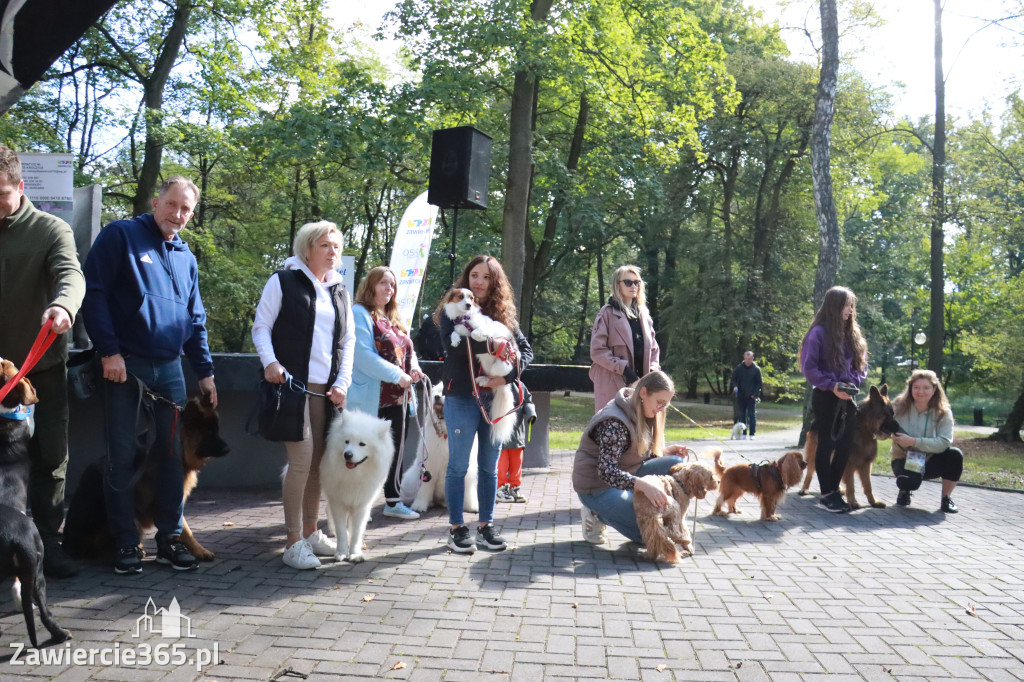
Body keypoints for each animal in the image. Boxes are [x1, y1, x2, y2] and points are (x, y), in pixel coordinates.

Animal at [62, 391, 230, 561]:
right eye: (209, 432)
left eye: (217, 429)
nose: (228, 449)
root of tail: (69, 544)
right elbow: (185, 529)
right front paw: (199, 550)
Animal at [321, 405, 393, 561]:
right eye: (347, 441)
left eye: (362, 444)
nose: (347, 454)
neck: (354, 476)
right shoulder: (338, 502)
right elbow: (342, 531)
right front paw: (341, 552)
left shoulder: (361, 505)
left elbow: (356, 532)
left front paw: (355, 553)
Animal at [442, 284, 520, 440]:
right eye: (460, 296)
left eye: (471, 298)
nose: (468, 304)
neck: (464, 318)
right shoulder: (458, 329)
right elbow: (454, 333)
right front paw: (455, 341)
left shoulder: (488, 325)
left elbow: (475, 332)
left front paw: (480, 336)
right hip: (487, 366)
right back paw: (482, 379)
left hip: (500, 366)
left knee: (495, 377)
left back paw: (484, 380)